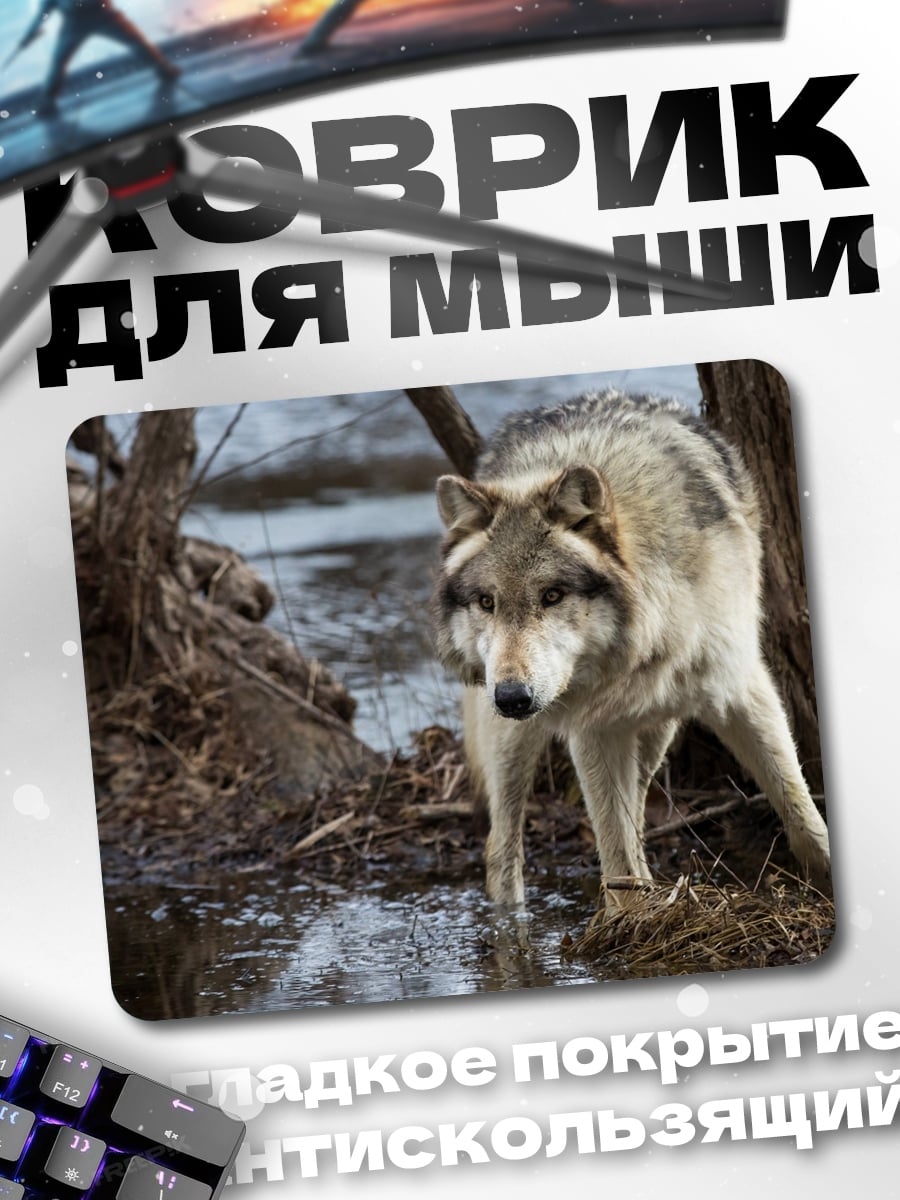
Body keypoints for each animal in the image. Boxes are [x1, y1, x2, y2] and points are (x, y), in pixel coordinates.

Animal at [430, 390, 830, 907]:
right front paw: (629, 920)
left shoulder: (741, 689)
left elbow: (799, 807)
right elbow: (613, 850)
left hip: (657, 727)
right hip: (514, 739)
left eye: (552, 595)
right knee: (501, 849)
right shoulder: (591, 728)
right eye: (486, 602)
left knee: (637, 803)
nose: (512, 697)